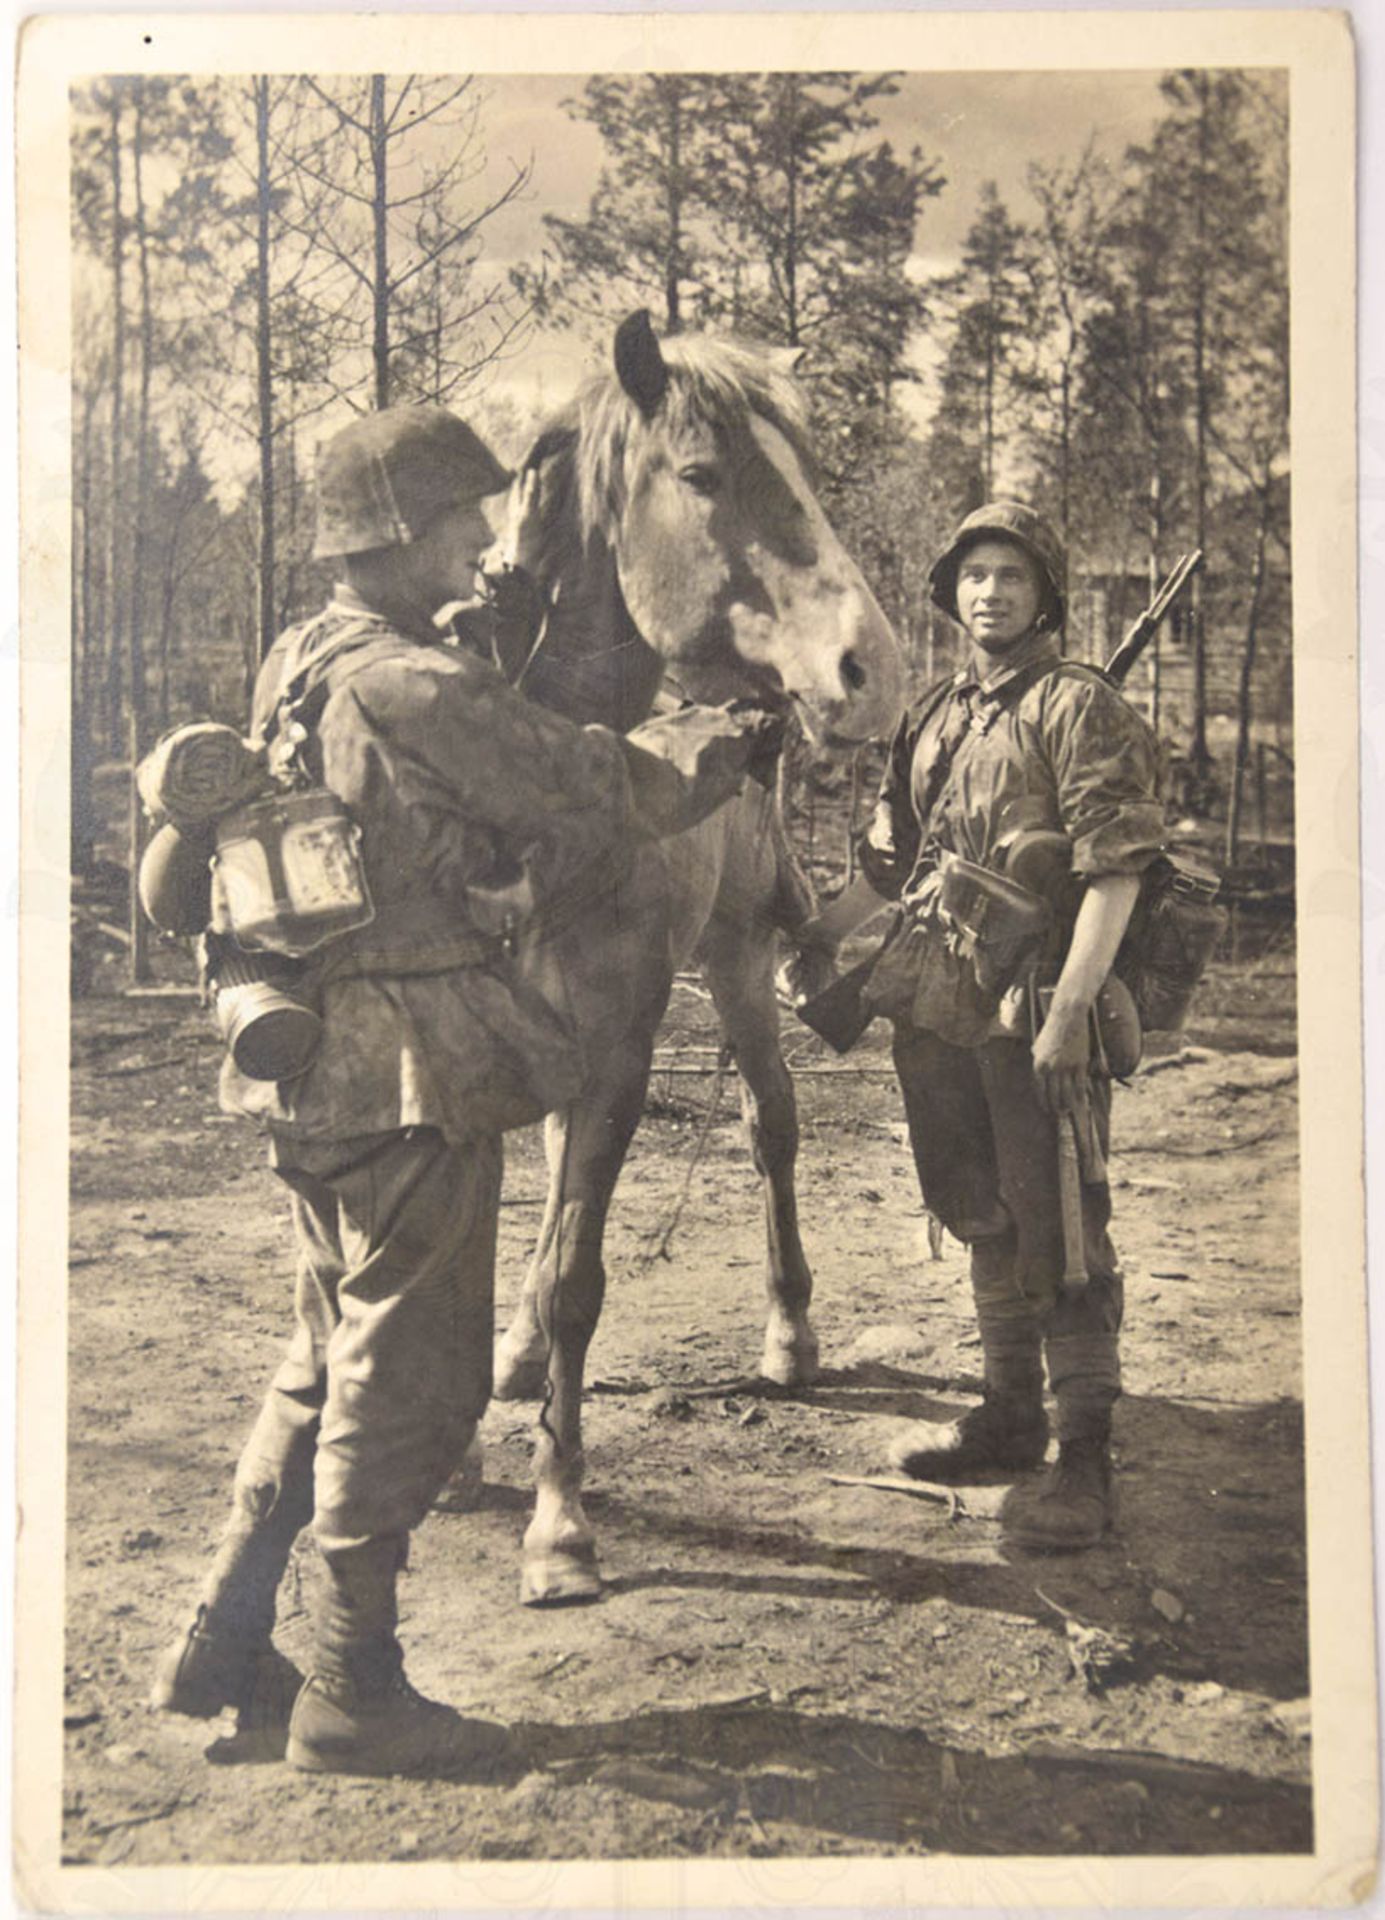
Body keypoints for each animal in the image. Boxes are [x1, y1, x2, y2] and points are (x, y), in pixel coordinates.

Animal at [480, 314, 902, 1605]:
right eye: (704, 475)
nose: (870, 666)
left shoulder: (621, 1049)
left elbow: (580, 1278)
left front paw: (560, 1525)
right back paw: (514, 1351)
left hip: (735, 975)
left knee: (770, 1128)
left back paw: (788, 1337)